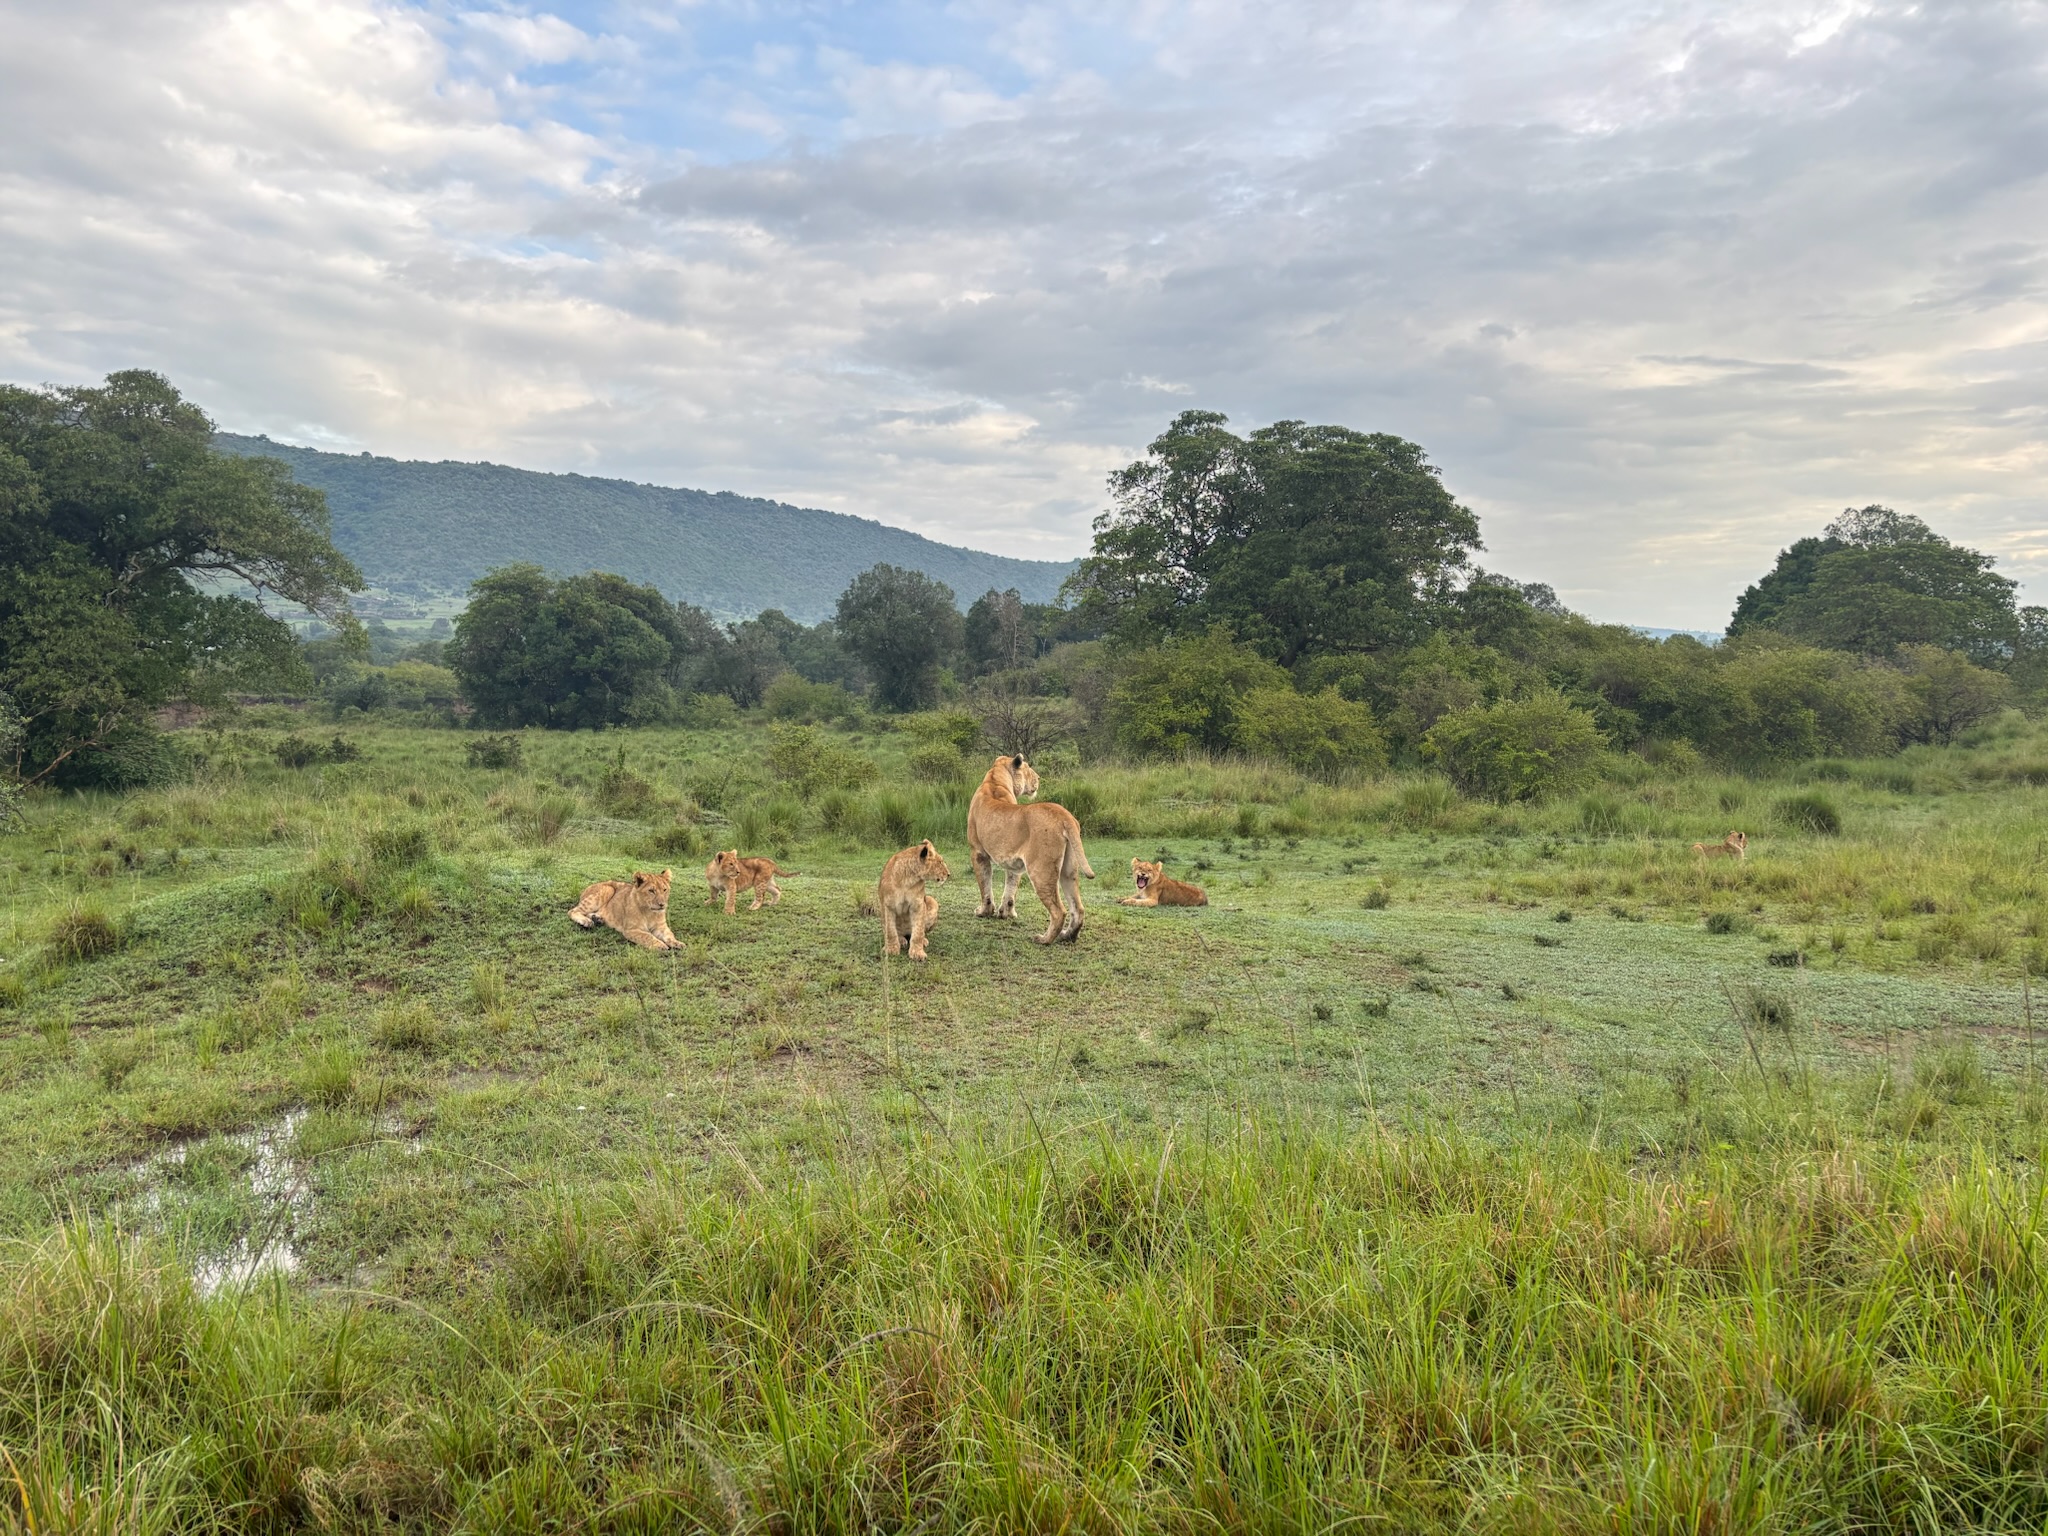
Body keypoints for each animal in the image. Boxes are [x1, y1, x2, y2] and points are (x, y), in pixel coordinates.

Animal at [966, 754, 1095, 944]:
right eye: (1028, 769)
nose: (1039, 778)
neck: (994, 781)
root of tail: (1064, 815)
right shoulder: (1014, 861)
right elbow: (1011, 888)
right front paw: (1006, 913)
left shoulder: (978, 852)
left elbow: (985, 886)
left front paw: (984, 912)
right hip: (1068, 870)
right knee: (1078, 908)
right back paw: (1067, 936)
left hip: (1040, 870)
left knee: (1059, 911)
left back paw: (1044, 939)